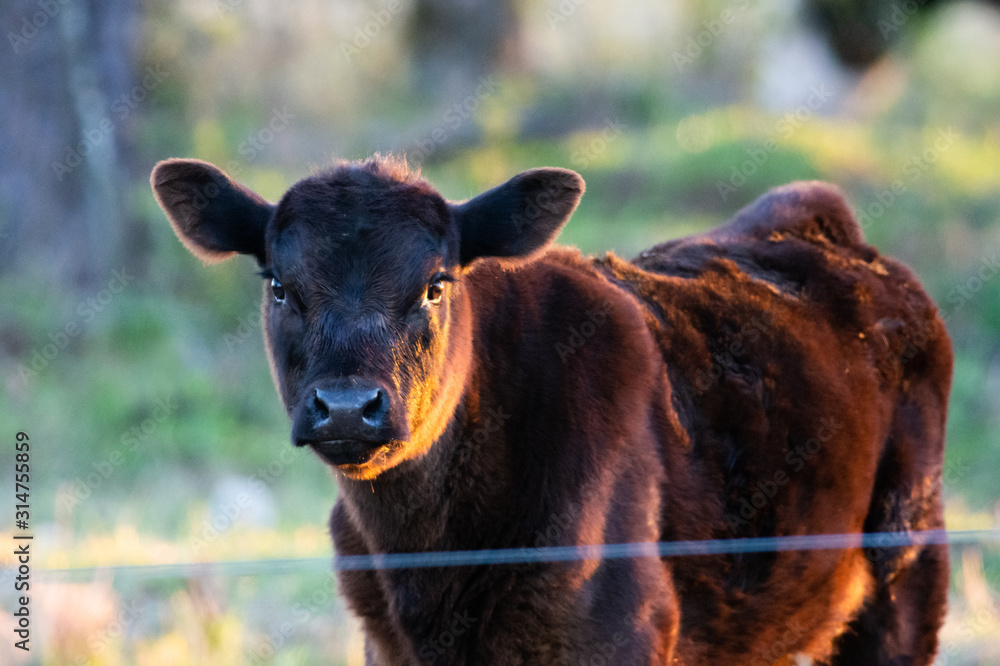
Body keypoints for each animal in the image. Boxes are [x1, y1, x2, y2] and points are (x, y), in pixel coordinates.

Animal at [151, 154, 953, 665]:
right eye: (280, 286)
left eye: (435, 285)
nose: (347, 408)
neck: (430, 557)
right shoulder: (385, 641)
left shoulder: (616, 636)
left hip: (905, 569)